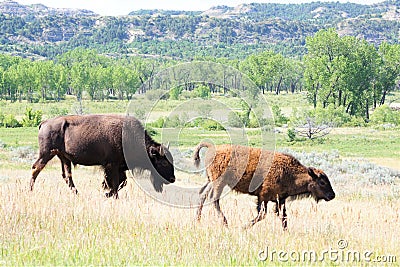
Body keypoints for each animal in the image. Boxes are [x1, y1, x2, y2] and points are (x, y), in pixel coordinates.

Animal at [30, 114, 174, 198]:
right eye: (163, 162)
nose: (172, 179)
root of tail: (44, 123)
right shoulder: (112, 165)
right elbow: (115, 183)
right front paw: (111, 194)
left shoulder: (118, 167)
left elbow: (122, 182)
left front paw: (106, 193)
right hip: (46, 154)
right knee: (36, 168)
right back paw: (30, 190)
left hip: (64, 158)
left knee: (67, 176)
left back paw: (77, 194)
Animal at [193, 142, 334, 230]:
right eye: (322, 182)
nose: (332, 195)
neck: (289, 173)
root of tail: (212, 147)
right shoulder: (263, 197)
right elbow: (262, 214)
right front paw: (243, 227)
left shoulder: (280, 200)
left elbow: (283, 217)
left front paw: (286, 232)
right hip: (219, 183)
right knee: (214, 199)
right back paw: (225, 223)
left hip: (210, 181)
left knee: (203, 195)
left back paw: (198, 220)